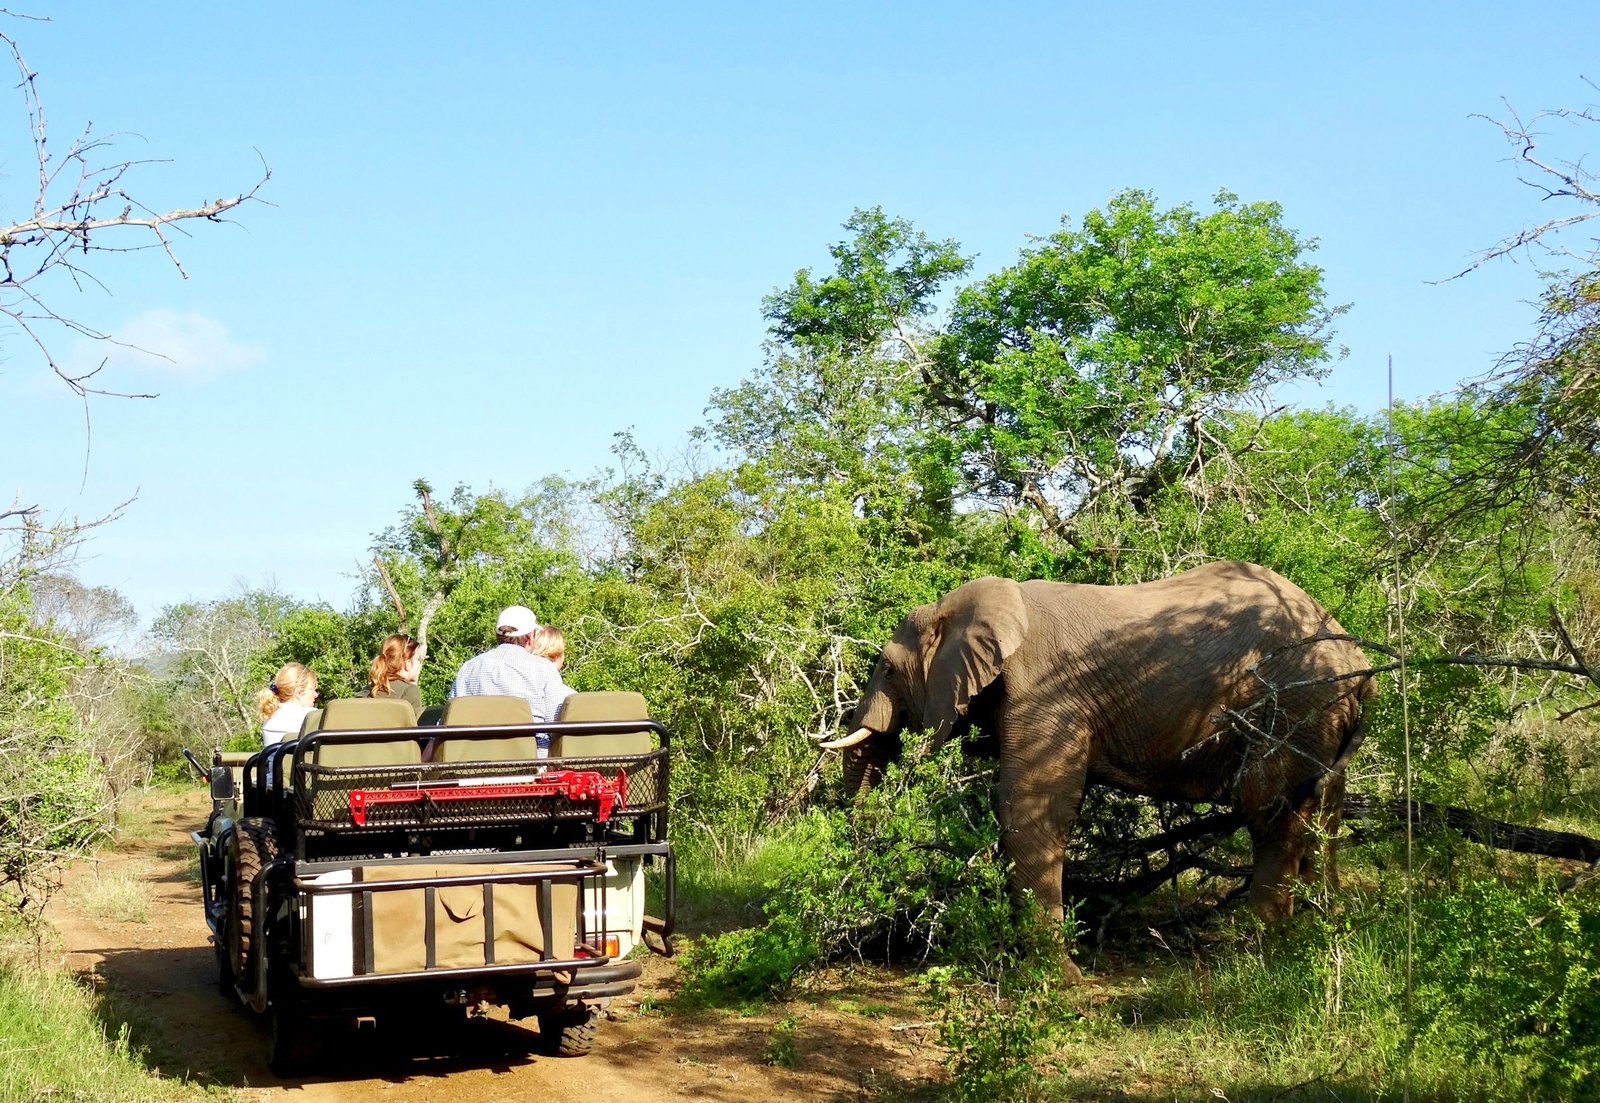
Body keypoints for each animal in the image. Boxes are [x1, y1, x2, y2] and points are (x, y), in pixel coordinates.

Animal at [825, 560, 1376, 922]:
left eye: (888, 669)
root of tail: (1358, 659)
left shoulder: (1048, 690)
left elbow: (1034, 810)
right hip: (1325, 716)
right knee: (1323, 811)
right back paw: (1319, 927)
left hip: (1297, 702)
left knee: (1271, 811)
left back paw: (1254, 947)